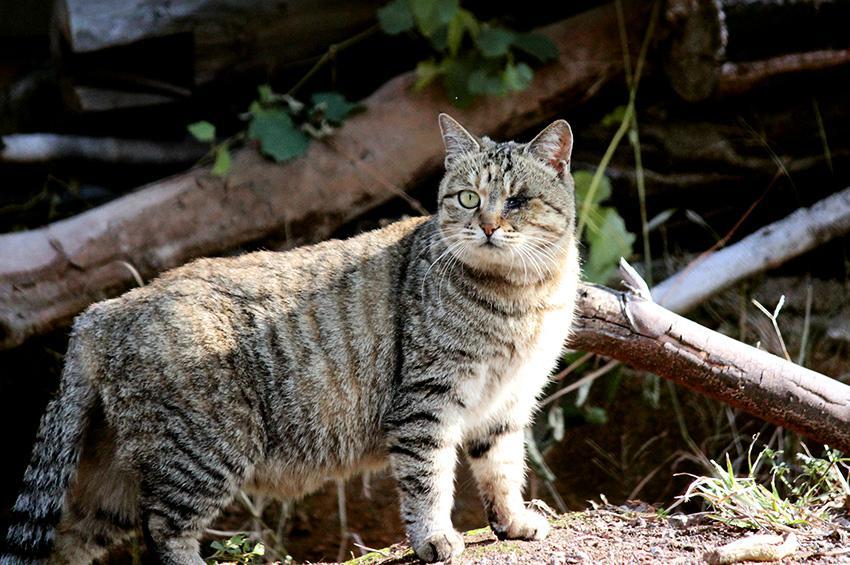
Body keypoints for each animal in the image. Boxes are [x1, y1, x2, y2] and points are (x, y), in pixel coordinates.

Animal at [0, 112, 580, 560]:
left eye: (517, 201)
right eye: (467, 198)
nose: (487, 225)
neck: (522, 297)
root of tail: (102, 309)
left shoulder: (507, 403)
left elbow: (503, 469)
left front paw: (514, 521)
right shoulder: (426, 403)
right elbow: (428, 479)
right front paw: (435, 538)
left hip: (112, 481)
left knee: (68, 539)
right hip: (201, 451)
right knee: (165, 530)